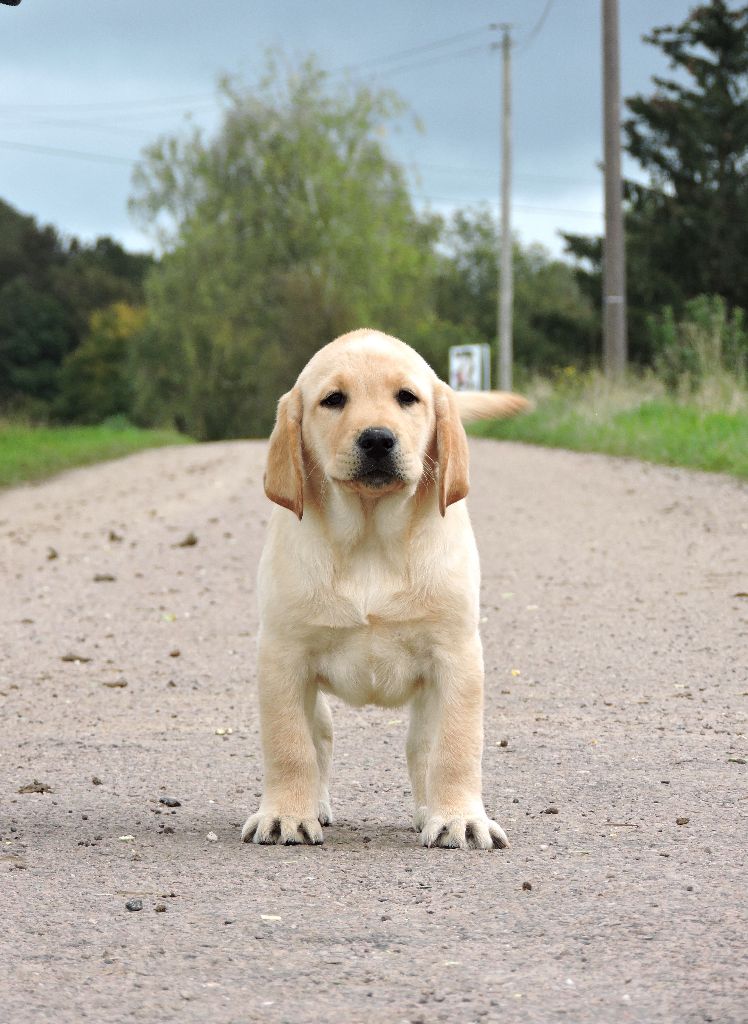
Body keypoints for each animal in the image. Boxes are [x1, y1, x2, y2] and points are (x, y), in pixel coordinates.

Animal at [241, 331, 528, 851]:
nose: (377, 438)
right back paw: (314, 806)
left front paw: (460, 820)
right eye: (333, 400)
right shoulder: (281, 655)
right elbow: (288, 744)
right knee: (321, 740)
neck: (371, 538)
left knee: (422, 750)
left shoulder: (457, 656)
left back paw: (430, 811)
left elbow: (457, 747)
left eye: (407, 398)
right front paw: (285, 815)